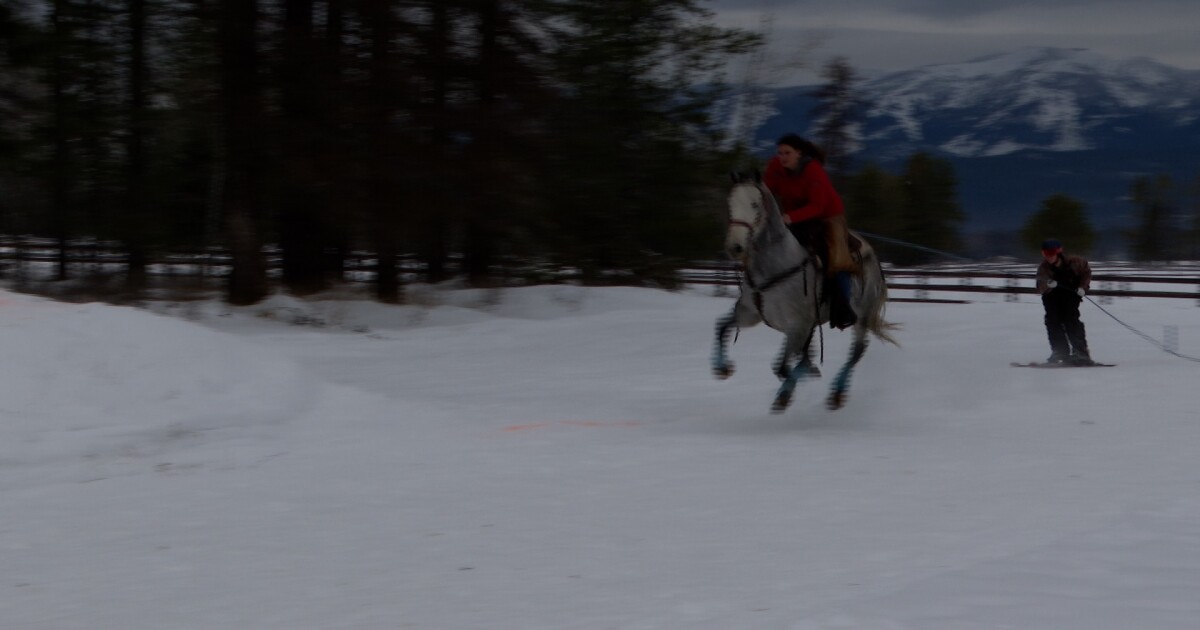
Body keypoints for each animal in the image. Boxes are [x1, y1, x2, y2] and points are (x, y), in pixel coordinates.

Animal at [705, 170, 897, 412]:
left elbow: (781, 366)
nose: (735, 247)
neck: (775, 266)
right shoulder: (749, 314)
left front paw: (786, 394)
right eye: (730, 203)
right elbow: (721, 327)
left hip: (861, 317)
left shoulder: (797, 327)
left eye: (755, 204)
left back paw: (837, 393)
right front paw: (722, 368)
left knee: (857, 351)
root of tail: (873, 257)